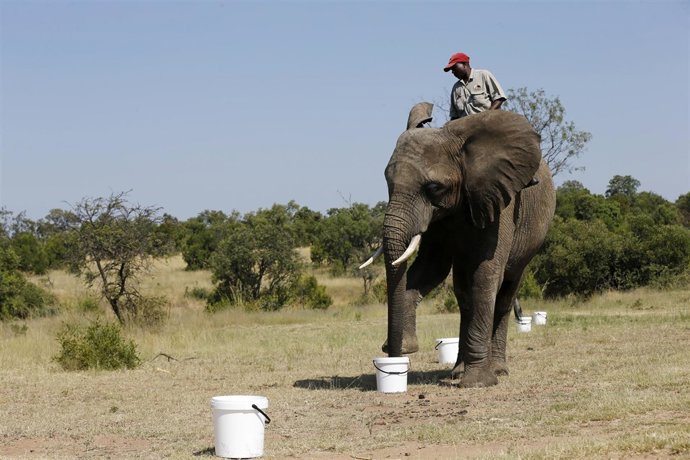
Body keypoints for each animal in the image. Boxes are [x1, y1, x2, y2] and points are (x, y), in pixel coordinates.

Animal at [374, 102, 556, 388]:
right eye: (387, 182)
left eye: (434, 187)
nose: (392, 356)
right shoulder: (436, 217)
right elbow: (429, 269)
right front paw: (406, 347)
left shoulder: (499, 201)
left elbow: (486, 274)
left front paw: (477, 382)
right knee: (463, 294)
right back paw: (458, 371)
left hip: (531, 240)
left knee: (505, 292)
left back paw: (498, 370)